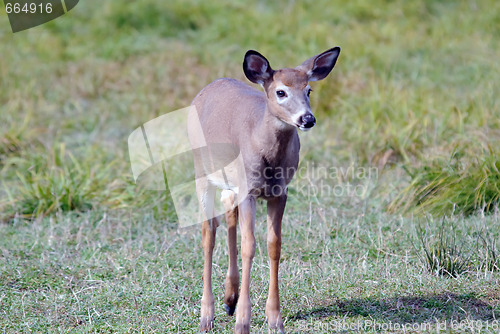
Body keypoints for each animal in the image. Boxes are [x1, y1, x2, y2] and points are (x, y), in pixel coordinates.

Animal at [187, 47, 340, 334]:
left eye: (309, 90)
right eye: (281, 92)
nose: (307, 118)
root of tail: (208, 88)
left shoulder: (279, 192)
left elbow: (274, 245)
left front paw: (274, 318)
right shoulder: (249, 190)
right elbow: (249, 246)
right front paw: (243, 322)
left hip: (231, 182)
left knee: (228, 214)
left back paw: (229, 298)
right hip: (201, 171)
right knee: (208, 233)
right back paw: (206, 316)